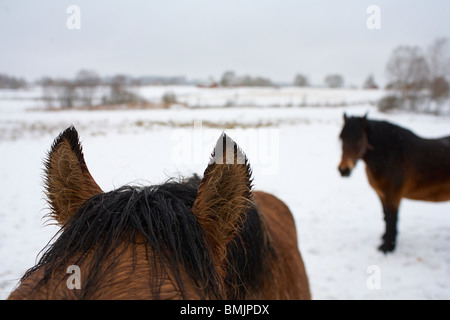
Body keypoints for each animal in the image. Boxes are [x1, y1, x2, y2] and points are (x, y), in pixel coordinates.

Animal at [340, 114, 448, 254]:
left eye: (359, 138)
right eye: (341, 137)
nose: (344, 170)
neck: (390, 155)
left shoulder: (393, 196)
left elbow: (392, 218)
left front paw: (387, 248)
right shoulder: (381, 194)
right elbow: (386, 216)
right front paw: (385, 239)